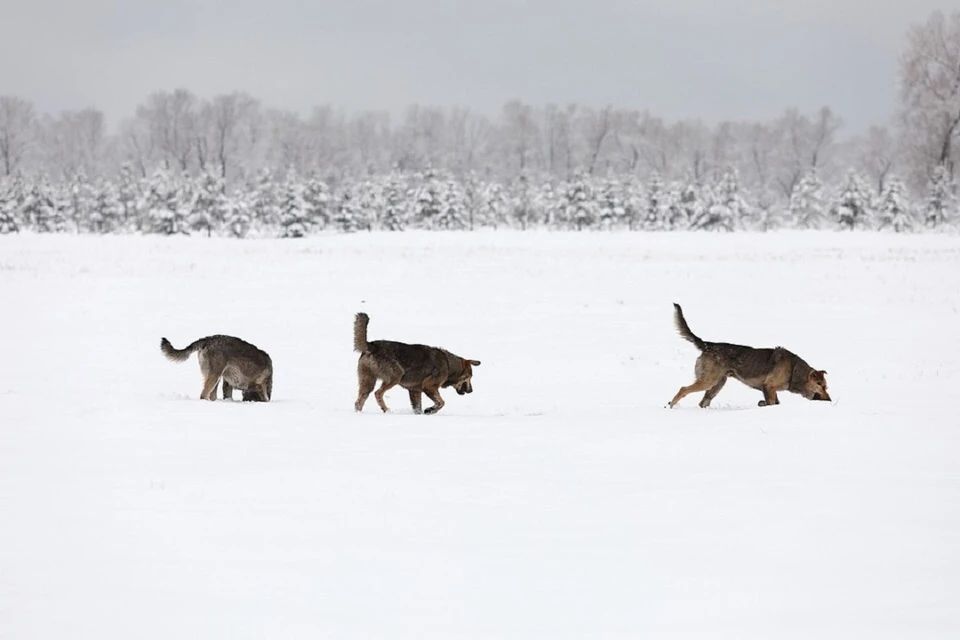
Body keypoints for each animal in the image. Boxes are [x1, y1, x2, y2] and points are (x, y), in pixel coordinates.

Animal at [352, 312, 480, 416]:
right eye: (469, 377)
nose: (471, 391)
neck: (449, 365)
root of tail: (371, 346)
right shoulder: (429, 386)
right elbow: (441, 402)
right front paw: (430, 410)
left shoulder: (415, 391)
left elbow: (418, 408)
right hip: (395, 376)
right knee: (378, 393)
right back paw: (386, 410)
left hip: (368, 381)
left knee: (359, 401)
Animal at [668, 302, 832, 408]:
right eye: (822, 386)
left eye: (826, 387)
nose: (830, 400)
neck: (795, 370)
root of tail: (708, 345)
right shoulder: (769, 386)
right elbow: (772, 403)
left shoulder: (770, 390)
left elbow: (773, 402)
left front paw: (762, 404)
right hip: (709, 381)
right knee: (683, 389)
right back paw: (671, 406)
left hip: (718, 383)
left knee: (703, 402)